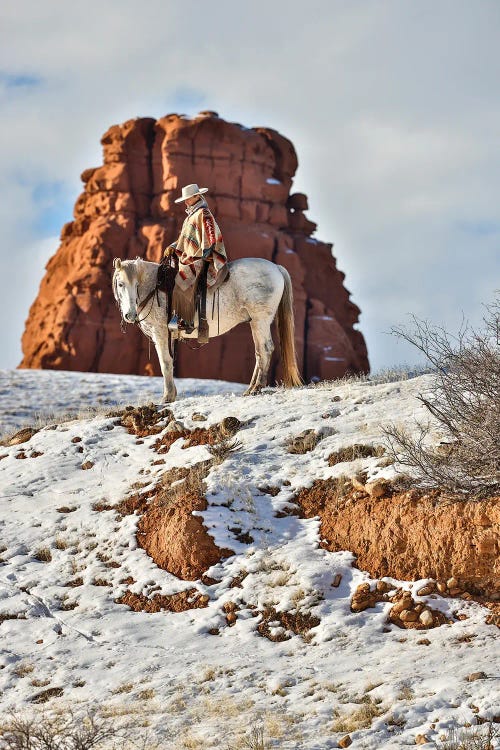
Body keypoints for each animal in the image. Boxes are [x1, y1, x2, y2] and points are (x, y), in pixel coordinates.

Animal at [112, 256, 300, 402]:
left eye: (135, 284)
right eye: (120, 284)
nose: (130, 315)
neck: (155, 288)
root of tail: (276, 267)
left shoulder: (160, 333)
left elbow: (165, 363)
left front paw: (167, 397)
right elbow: (170, 363)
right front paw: (172, 394)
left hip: (261, 320)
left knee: (266, 349)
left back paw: (257, 388)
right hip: (255, 322)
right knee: (259, 352)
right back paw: (250, 388)